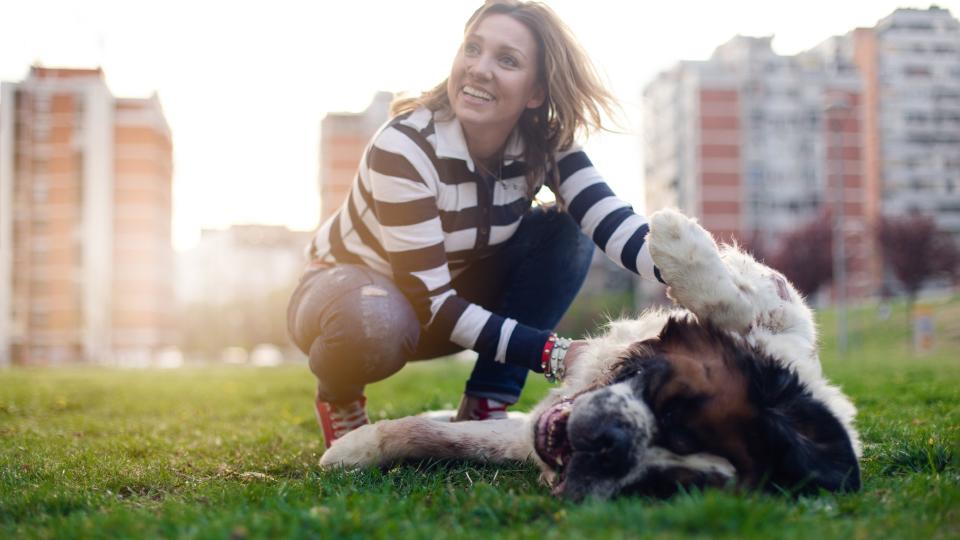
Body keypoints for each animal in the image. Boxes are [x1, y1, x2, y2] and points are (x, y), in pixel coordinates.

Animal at [316, 209, 864, 500]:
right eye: (671, 404)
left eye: (667, 485)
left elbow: (451, 437)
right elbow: (733, 303)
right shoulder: (781, 310)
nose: (612, 444)